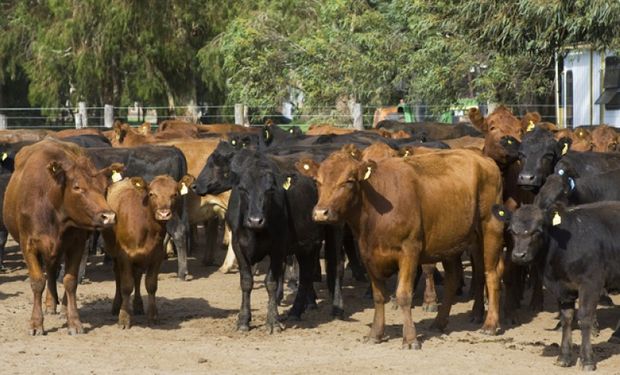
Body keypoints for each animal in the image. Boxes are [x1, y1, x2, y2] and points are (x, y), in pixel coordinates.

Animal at [3, 139, 120, 334]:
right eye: (77, 187)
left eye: (105, 188)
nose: (109, 216)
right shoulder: (29, 245)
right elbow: (38, 281)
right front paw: (36, 323)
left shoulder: (76, 244)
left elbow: (70, 281)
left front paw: (74, 321)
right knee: (50, 270)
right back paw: (50, 304)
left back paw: (61, 307)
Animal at [103, 175, 189, 328]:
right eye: (151, 194)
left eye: (174, 194)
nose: (164, 213)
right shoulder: (124, 256)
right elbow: (126, 286)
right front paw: (124, 318)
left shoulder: (156, 257)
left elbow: (151, 285)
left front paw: (153, 315)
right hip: (115, 255)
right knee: (118, 276)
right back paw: (117, 305)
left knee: (137, 277)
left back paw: (138, 305)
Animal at [298, 147, 506, 350]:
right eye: (317, 181)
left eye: (349, 181)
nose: (321, 213)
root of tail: (484, 159)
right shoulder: (367, 255)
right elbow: (379, 296)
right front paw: (375, 334)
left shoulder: (409, 251)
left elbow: (403, 295)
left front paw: (410, 339)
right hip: (451, 241)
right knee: (454, 278)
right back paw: (440, 322)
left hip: (490, 228)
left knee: (491, 274)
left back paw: (490, 324)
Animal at [496, 201, 620, 372]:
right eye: (511, 230)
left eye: (537, 231)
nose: (519, 255)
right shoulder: (563, 288)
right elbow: (566, 318)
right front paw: (564, 357)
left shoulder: (591, 283)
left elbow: (585, 318)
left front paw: (587, 360)